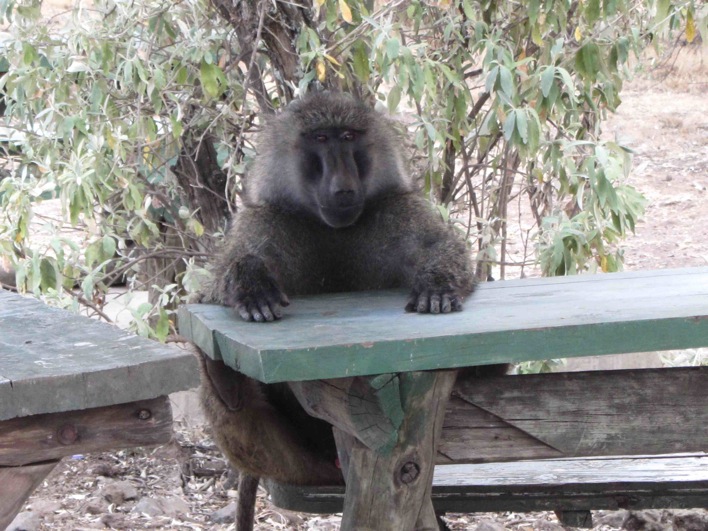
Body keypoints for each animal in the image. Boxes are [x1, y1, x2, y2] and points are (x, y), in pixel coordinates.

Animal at [197, 92, 480, 530]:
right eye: (320, 138)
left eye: (348, 137)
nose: (343, 185)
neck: (329, 227)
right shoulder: (265, 219)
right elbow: (217, 289)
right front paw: (252, 285)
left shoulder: (398, 208)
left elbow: (442, 248)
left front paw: (437, 286)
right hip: (293, 464)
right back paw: (225, 384)